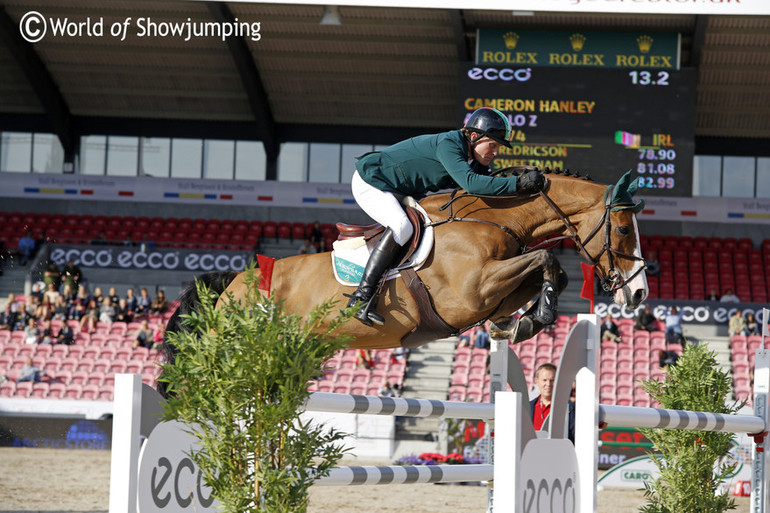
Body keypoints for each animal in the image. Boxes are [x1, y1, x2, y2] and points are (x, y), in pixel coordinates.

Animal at [162, 166, 648, 362]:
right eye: (625, 229)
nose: (639, 292)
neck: (494, 218)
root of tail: (231, 284)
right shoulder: (471, 292)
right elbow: (547, 257)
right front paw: (536, 317)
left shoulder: (490, 290)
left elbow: (545, 271)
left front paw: (517, 324)